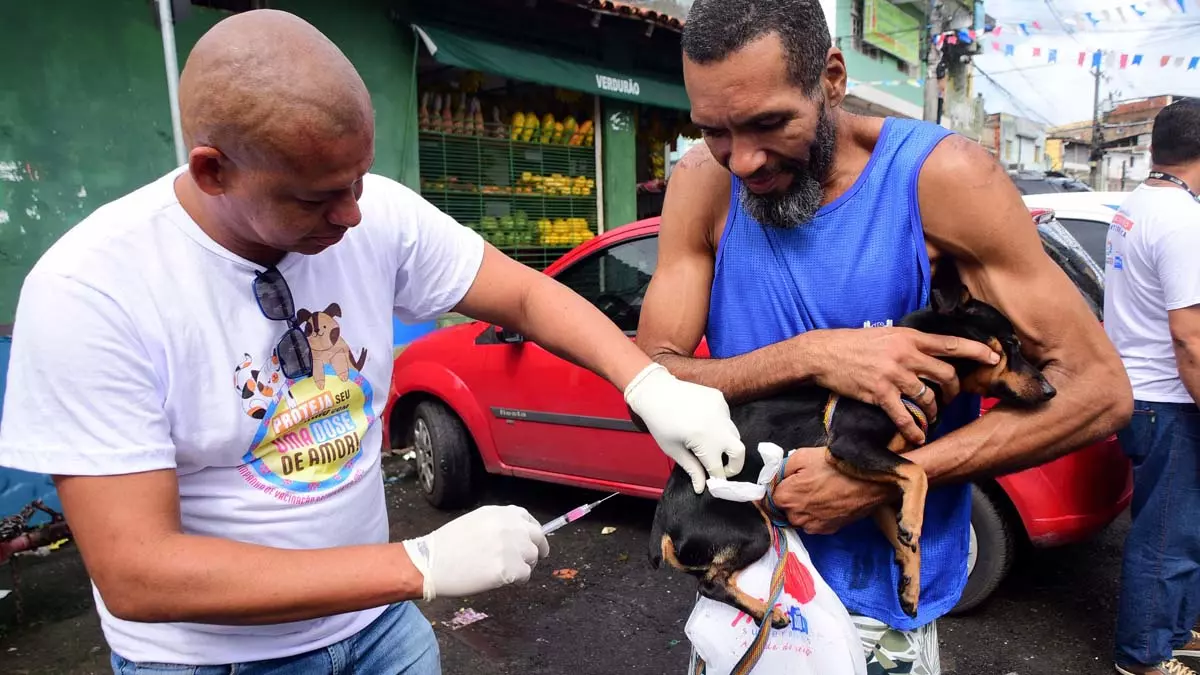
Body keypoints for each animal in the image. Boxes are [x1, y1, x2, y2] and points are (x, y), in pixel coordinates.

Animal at [652, 263, 1056, 624]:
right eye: (1010, 346)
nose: (1051, 390)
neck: (918, 375)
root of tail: (663, 524)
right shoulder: (850, 445)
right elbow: (918, 472)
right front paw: (914, 522)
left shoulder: (873, 490)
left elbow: (906, 539)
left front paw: (910, 584)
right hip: (752, 529)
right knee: (711, 584)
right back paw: (767, 612)